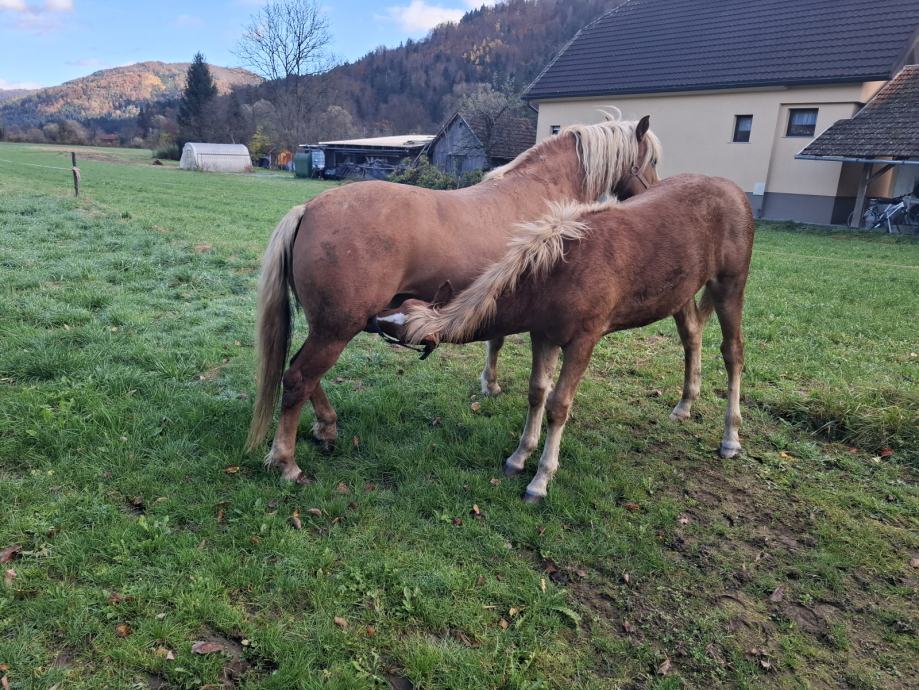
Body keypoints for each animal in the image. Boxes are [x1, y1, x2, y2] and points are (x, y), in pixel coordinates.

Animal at [247, 115, 662, 483]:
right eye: (654, 160)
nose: (652, 195)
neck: (539, 193)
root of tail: (308, 210)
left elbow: (495, 340)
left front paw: (489, 385)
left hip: (328, 327)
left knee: (302, 373)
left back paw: (327, 428)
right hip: (336, 329)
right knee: (299, 378)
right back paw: (286, 462)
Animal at [372, 174, 755, 503]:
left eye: (399, 333)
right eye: (399, 308)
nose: (373, 317)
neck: (556, 272)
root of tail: (735, 190)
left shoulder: (583, 342)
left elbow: (558, 406)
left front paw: (540, 480)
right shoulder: (543, 336)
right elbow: (537, 393)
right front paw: (518, 457)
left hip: (729, 285)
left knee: (733, 353)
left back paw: (731, 437)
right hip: (681, 295)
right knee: (692, 336)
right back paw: (685, 405)